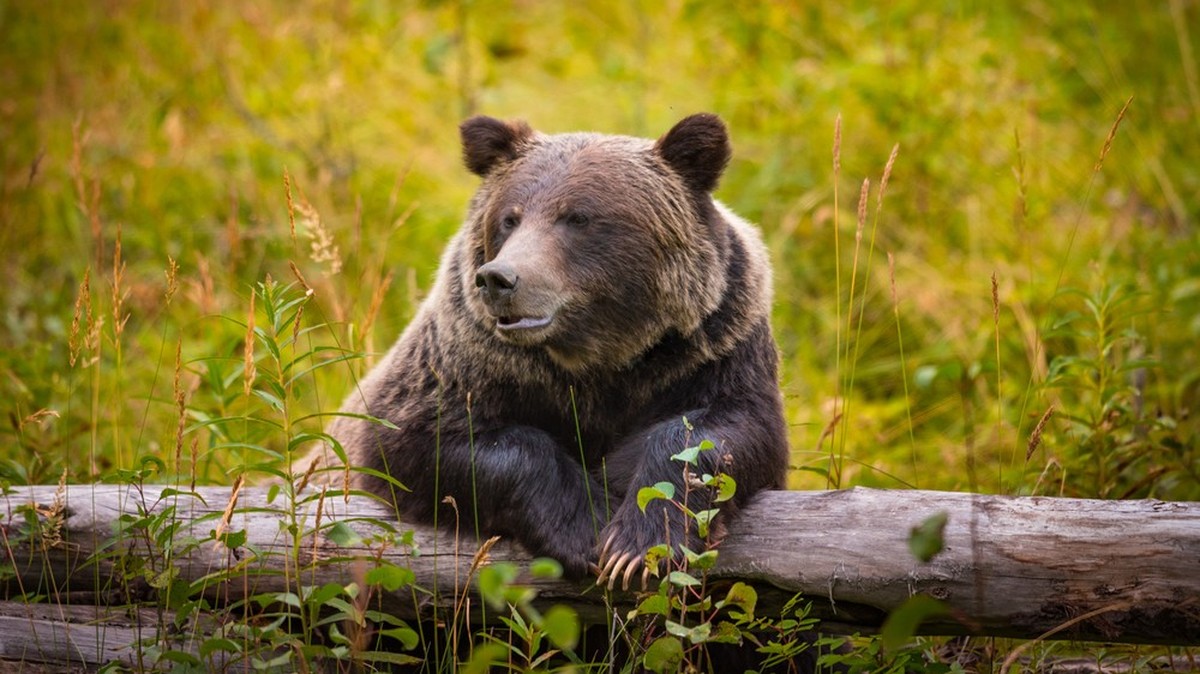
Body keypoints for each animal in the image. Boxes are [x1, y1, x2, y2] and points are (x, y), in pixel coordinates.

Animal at [323, 113, 789, 589]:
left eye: (578, 217)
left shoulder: (713, 349)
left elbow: (723, 430)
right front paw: (588, 526)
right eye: (509, 218)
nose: (499, 279)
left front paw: (636, 543)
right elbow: (423, 438)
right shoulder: (465, 364)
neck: (597, 357)